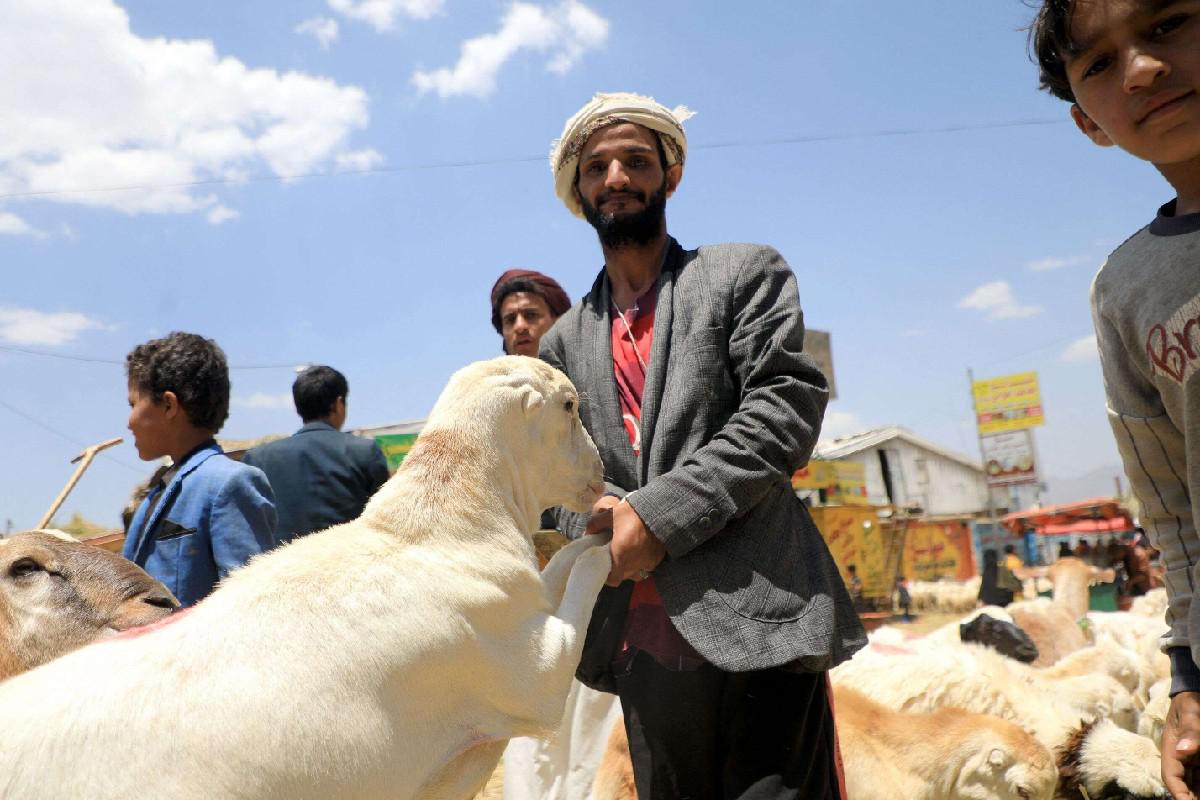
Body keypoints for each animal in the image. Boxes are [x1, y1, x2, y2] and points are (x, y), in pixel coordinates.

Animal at [0, 357, 609, 800]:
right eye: (570, 404)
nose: (604, 473)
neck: (437, 524)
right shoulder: (538, 673)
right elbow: (584, 568)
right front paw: (610, 534)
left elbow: (561, 565)